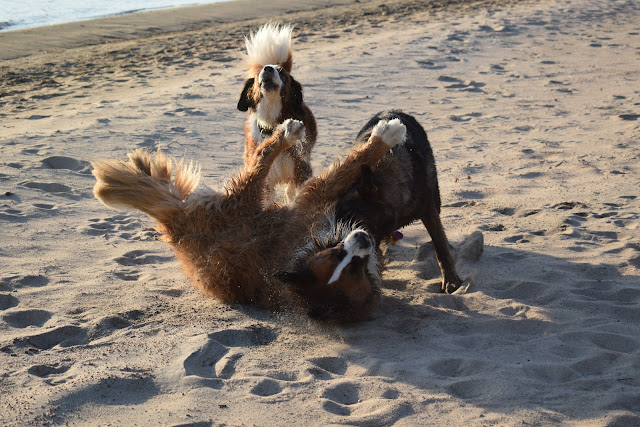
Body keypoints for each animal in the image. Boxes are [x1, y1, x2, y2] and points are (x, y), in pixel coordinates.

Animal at [91, 118, 404, 322]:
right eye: (337, 255)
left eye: (354, 269)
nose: (363, 238)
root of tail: (177, 233)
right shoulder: (311, 200)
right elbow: (349, 166)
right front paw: (384, 138)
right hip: (247, 197)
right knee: (261, 156)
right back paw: (290, 132)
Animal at [236, 22, 316, 203]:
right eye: (259, 72)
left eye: (281, 72)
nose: (267, 68)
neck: (272, 122)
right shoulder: (265, 180)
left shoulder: (302, 170)